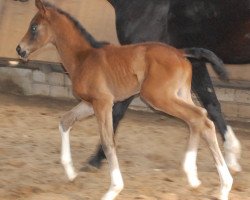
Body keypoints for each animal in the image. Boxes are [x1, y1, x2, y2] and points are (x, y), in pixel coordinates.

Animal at [17, 0, 232, 199]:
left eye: (34, 27)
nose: (20, 49)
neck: (83, 57)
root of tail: (180, 52)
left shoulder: (103, 103)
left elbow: (108, 142)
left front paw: (113, 189)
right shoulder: (90, 104)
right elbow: (65, 120)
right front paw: (71, 173)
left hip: (159, 97)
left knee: (200, 118)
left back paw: (224, 185)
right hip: (181, 94)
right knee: (198, 119)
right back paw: (194, 177)